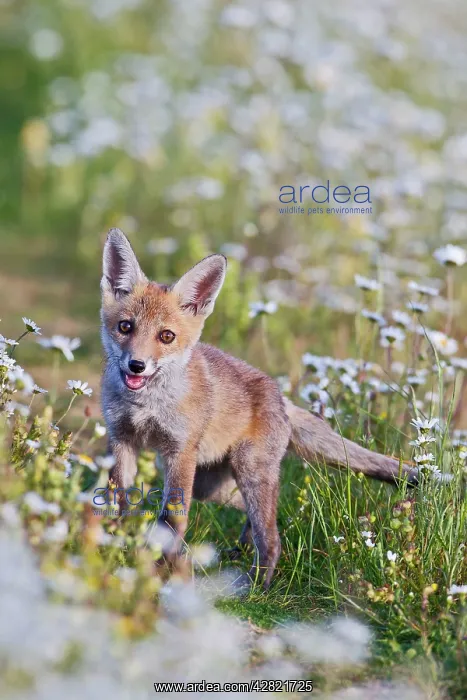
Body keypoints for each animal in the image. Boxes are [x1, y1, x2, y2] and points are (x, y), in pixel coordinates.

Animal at [100, 228, 417, 589]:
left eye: (166, 336)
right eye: (125, 327)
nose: (136, 365)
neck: (145, 405)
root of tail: (279, 395)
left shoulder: (179, 453)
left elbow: (172, 520)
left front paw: (158, 572)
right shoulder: (121, 440)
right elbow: (119, 503)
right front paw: (116, 548)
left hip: (246, 470)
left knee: (271, 535)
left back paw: (255, 587)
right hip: (212, 485)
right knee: (260, 515)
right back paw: (243, 550)